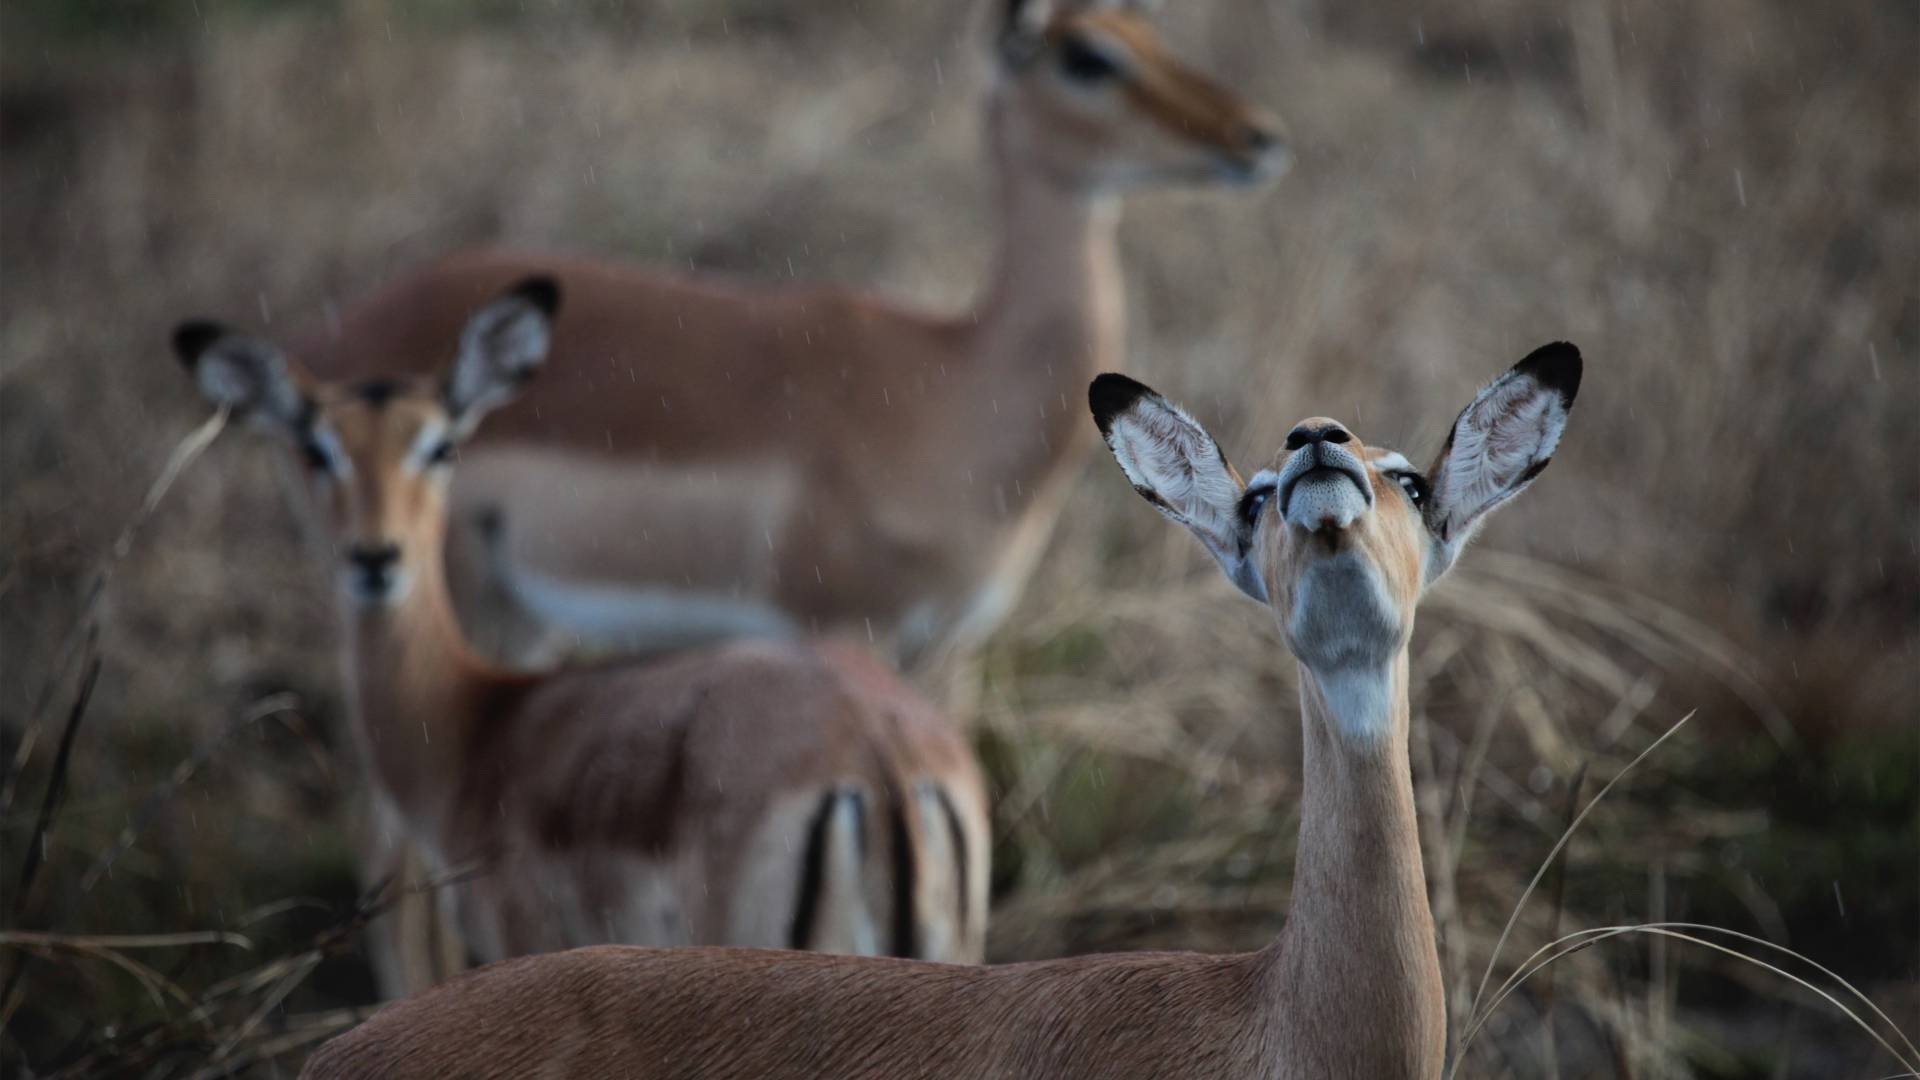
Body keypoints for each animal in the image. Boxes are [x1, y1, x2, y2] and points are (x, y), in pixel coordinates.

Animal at [173, 278, 992, 985]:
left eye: (441, 446)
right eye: (318, 448)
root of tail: (883, 754)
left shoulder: (523, 936)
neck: (479, 725)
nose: (376, 558)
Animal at [292, 0, 1289, 667]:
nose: (1257, 137)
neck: (955, 380)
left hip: (517, 621)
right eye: (1088, 56)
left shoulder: (946, 651)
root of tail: (335, 339)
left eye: (1148, 26)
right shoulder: (842, 633)